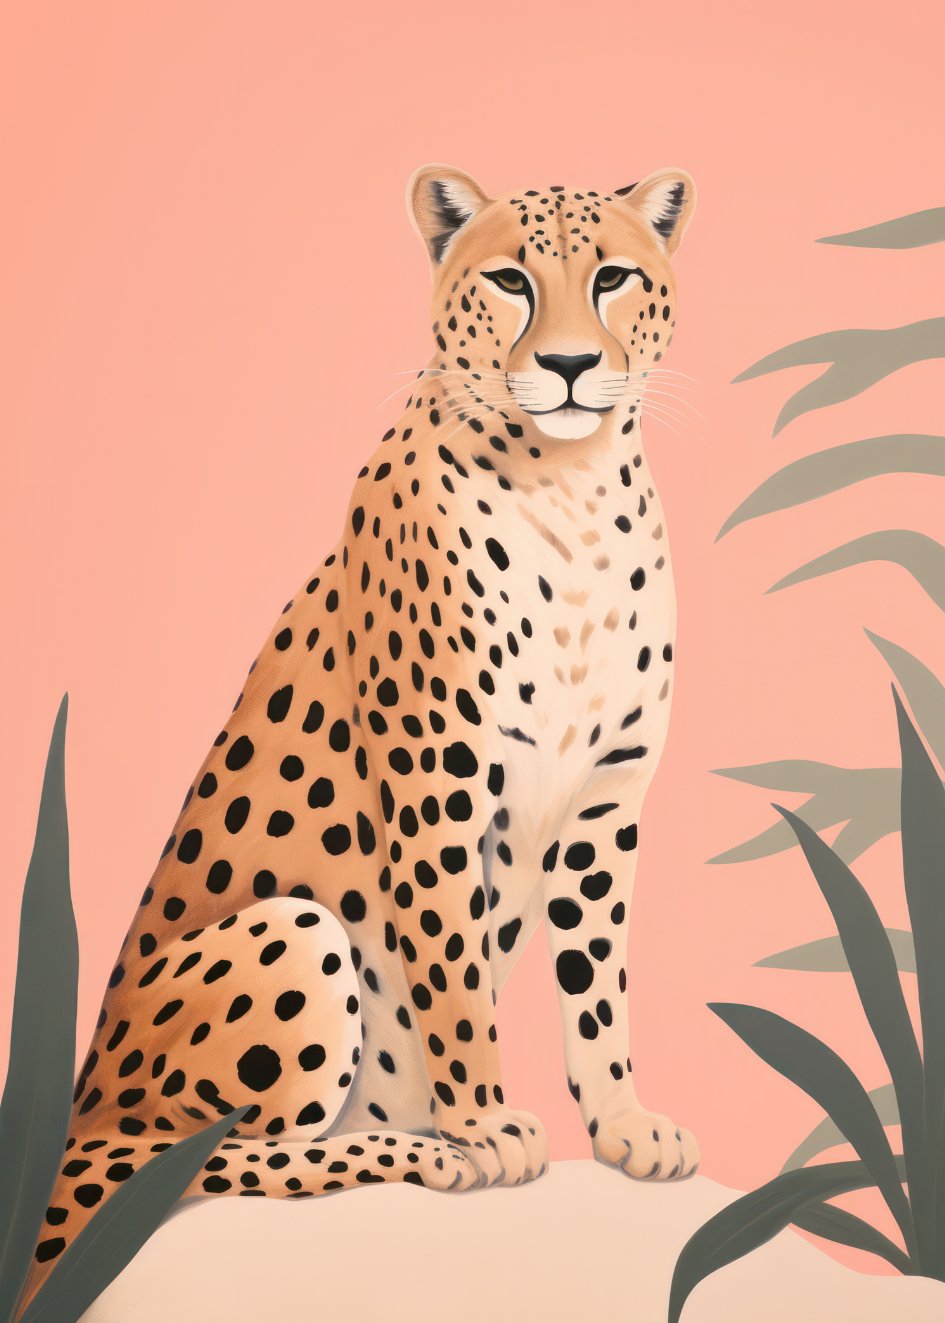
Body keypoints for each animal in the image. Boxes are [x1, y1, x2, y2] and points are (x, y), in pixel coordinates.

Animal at [25, 162, 700, 1305]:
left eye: (611, 276)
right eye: (511, 280)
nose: (569, 366)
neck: (569, 488)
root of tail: (75, 1119)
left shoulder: (606, 797)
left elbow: (597, 978)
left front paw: (621, 1124)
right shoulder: (438, 775)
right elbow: (452, 967)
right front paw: (482, 1121)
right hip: (291, 933)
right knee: (193, 1161)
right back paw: (425, 1150)